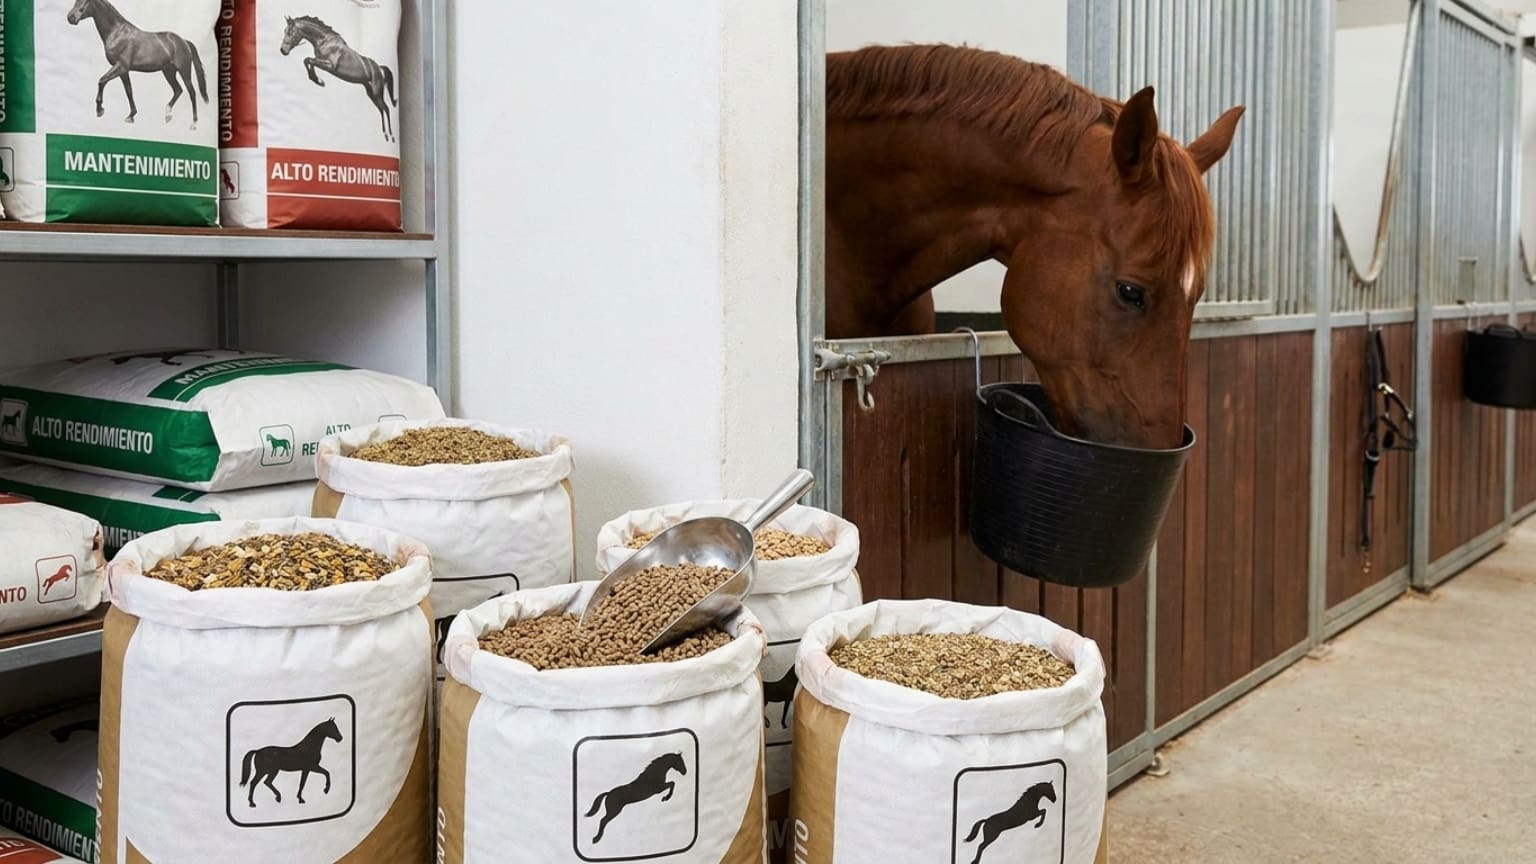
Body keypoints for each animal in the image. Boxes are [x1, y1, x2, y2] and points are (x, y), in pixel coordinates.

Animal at [66, 0, 209, 128]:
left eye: (85, 1)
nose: (70, 17)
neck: (117, 33)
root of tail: (184, 41)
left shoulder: (121, 66)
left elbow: (102, 81)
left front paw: (100, 110)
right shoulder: (123, 71)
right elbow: (128, 91)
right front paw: (131, 115)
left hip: (184, 70)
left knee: (192, 92)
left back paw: (193, 123)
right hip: (168, 71)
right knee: (178, 90)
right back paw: (168, 115)